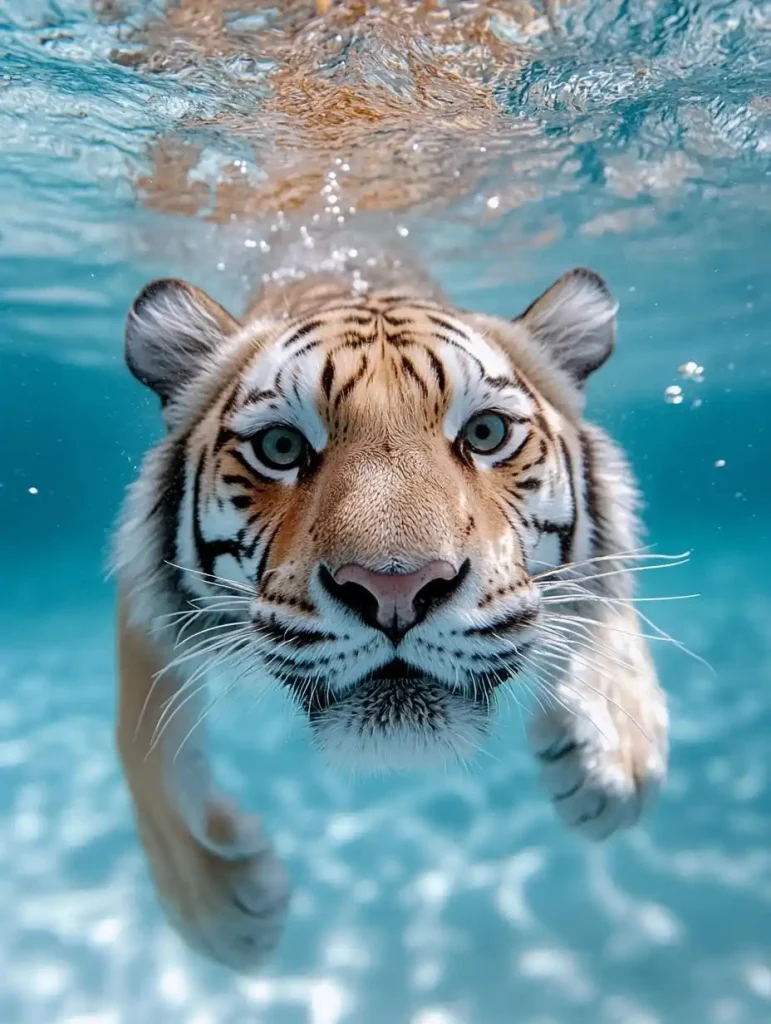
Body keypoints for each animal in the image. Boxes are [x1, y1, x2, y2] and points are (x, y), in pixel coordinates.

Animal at [112, 256, 667, 966]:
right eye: (281, 447)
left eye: (486, 433)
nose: (395, 588)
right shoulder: (143, 615)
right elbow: (142, 749)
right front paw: (223, 911)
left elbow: (605, 590)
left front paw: (613, 754)